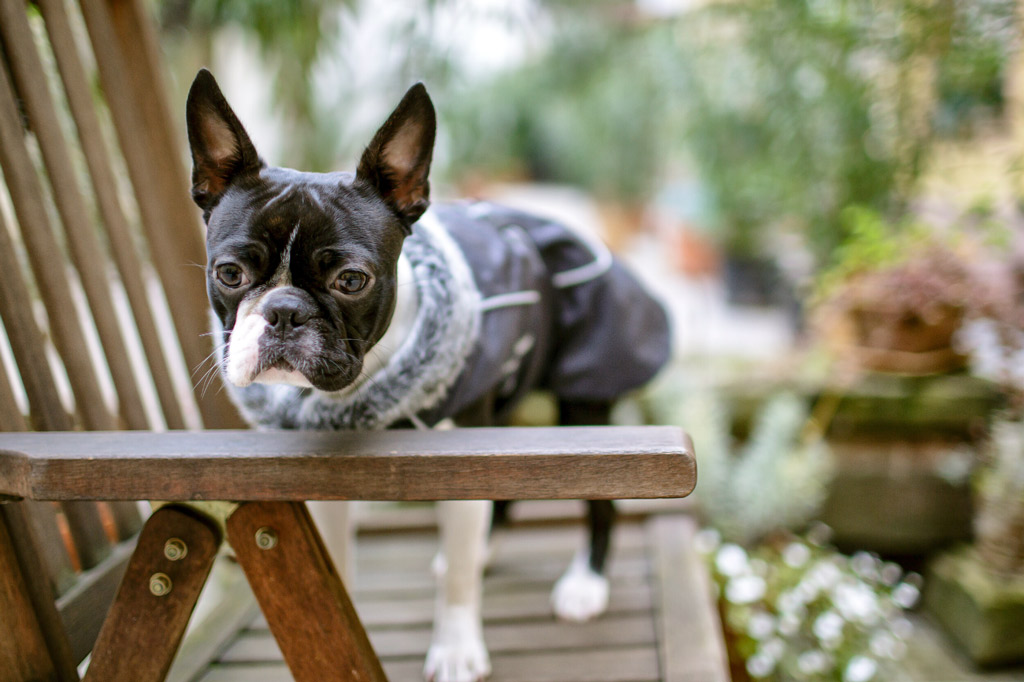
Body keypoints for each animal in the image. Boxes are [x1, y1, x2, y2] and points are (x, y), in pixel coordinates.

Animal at [189, 69, 671, 679]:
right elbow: (332, 567)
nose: (283, 311)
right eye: (229, 273)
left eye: (352, 280)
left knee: (600, 504)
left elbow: (461, 582)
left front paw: (457, 648)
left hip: (583, 402)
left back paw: (585, 582)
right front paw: (333, 627)